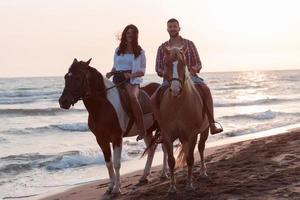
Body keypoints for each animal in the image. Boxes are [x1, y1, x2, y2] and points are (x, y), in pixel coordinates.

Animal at [58, 58, 164, 195]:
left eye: (77, 78)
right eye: (66, 77)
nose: (63, 102)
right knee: (152, 149)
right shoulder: (101, 139)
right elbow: (108, 163)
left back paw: (164, 173)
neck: (103, 107)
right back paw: (144, 177)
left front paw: (117, 188)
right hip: (147, 131)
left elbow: (117, 163)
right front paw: (110, 187)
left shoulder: (116, 137)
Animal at [150, 47, 209, 193]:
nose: (176, 89)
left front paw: (189, 185)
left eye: (183, 64)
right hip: (183, 137)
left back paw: (203, 172)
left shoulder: (192, 134)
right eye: (166, 64)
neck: (177, 106)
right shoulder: (167, 135)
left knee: (201, 148)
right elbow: (171, 161)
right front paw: (172, 187)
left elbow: (190, 158)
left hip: (204, 130)